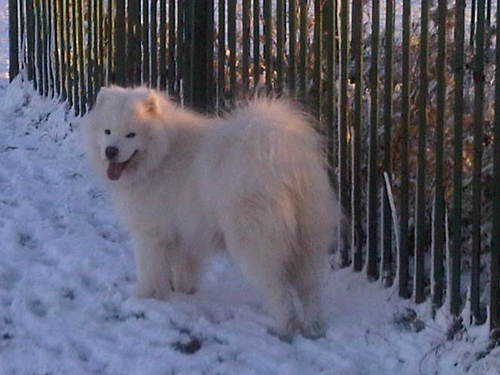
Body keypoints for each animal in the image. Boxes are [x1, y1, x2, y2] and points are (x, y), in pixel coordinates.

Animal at [84, 86, 342, 340]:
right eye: (107, 131)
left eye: (131, 134)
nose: (111, 150)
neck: (163, 154)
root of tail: (285, 164)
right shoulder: (183, 233)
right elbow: (184, 269)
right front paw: (183, 291)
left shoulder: (151, 235)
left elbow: (149, 270)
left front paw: (145, 296)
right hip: (307, 239)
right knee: (309, 288)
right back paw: (313, 327)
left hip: (254, 243)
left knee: (278, 289)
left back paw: (283, 328)